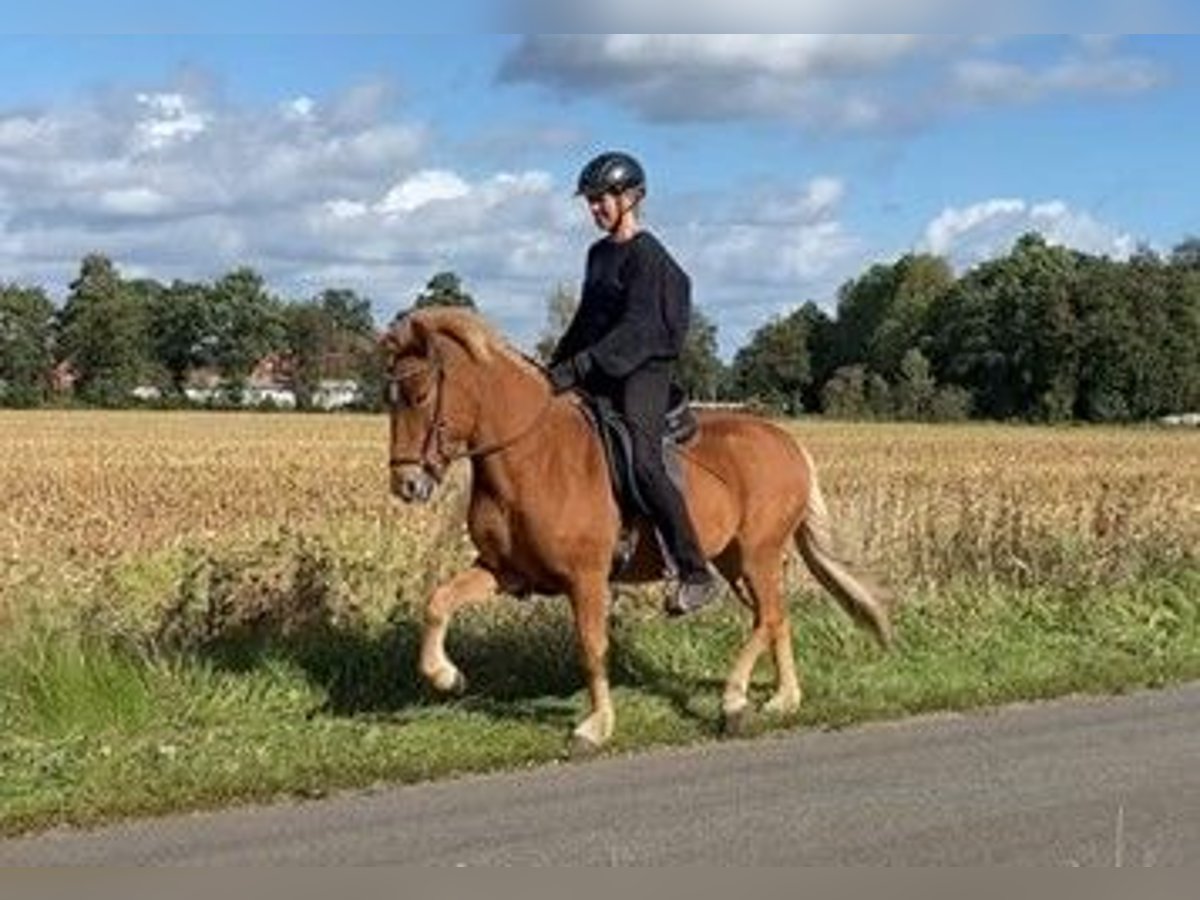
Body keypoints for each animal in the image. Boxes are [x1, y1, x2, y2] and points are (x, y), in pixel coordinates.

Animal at [384, 309, 892, 753]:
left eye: (420, 395)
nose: (406, 484)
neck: (530, 455)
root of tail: (787, 442)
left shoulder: (586, 578)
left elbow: (591, 647)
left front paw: (596, 726)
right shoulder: (505, 570)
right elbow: (438, 603)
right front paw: (446, 676)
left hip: (758, 553)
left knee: (767, 618)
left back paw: (733, 700)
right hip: (735, 560)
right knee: (775, 618)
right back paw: (785, 699)